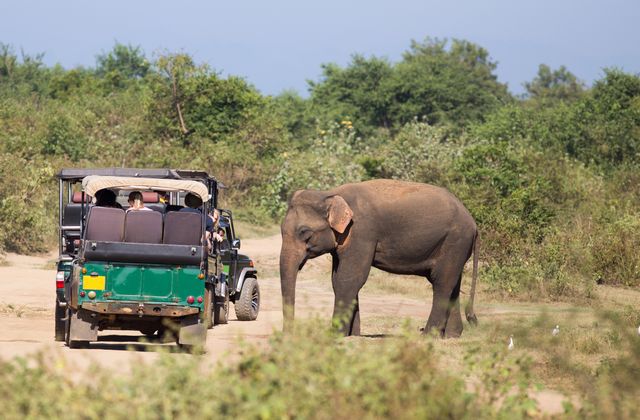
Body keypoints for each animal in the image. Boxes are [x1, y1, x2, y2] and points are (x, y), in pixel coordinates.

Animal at [278, 179, 478, 336]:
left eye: (305, 233)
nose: (289, 335)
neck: (330, 194)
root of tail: (474, 224)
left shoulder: (362, 232)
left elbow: (349, 278)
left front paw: (335, 335)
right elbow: (337, 280)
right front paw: (352, 335)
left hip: (455, 241)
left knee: (441, 282)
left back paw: (428, 336)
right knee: (452, 283)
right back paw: (451, 335)